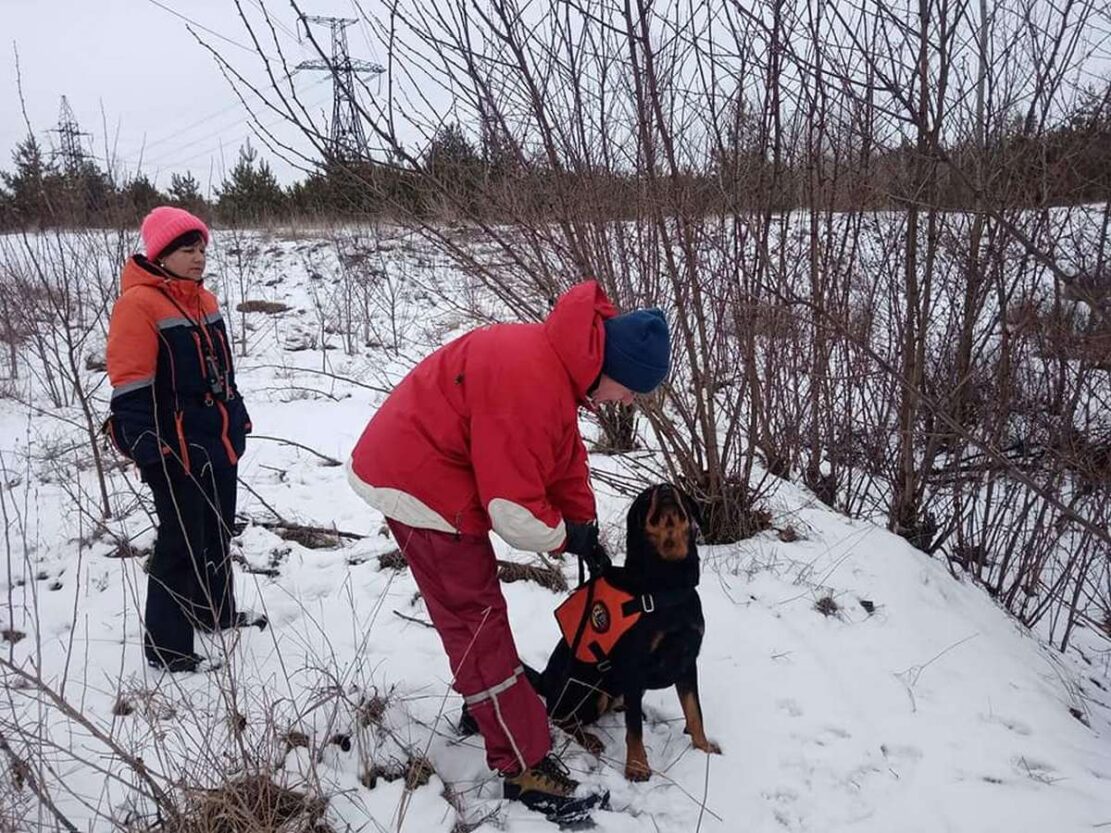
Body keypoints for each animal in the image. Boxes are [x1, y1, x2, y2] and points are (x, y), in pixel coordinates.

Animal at [535, 482, 724, 781]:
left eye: (679, 492)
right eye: (646, 498)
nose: (665, 488)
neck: (666, 585)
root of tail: (543, 680)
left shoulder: (686, 660)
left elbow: (695, 712)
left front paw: (703, 748)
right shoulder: (634, 665)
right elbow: (634, 729)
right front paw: (637, 767)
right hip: (592, 688)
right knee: (558, 715)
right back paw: (590, 739)